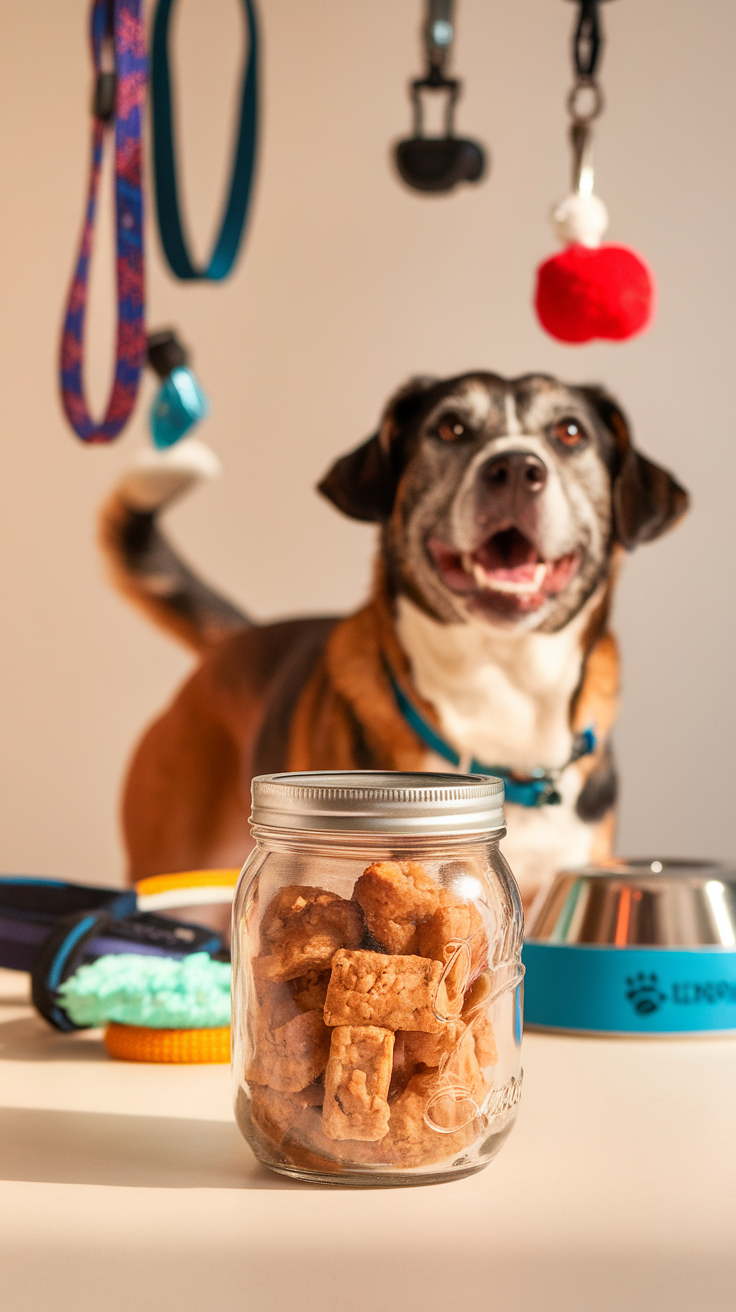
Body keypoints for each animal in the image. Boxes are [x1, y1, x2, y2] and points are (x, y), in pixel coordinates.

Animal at [100, 369, 687, 902]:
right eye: (451, 427)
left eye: (569, 432)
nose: (517, 467)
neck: (500, 682)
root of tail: (235, 641)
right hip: (166, 864)